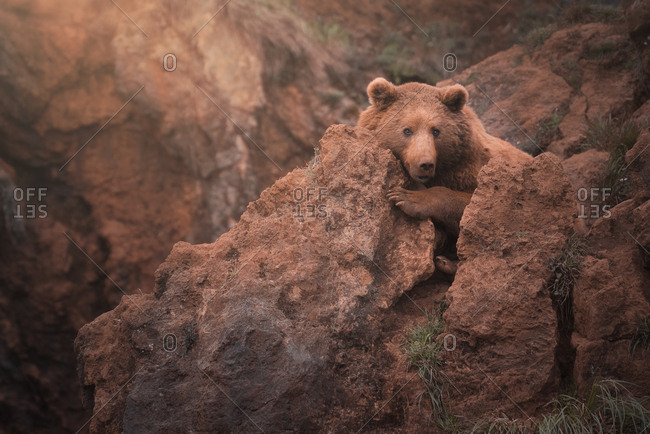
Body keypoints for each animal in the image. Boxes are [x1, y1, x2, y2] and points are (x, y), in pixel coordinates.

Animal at [357, 77, 531, 273]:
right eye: (407, 130)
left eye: (436, 131)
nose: (425, 164)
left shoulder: (472, 169)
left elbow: (476, 202)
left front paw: (406, 197)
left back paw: (447, 262)